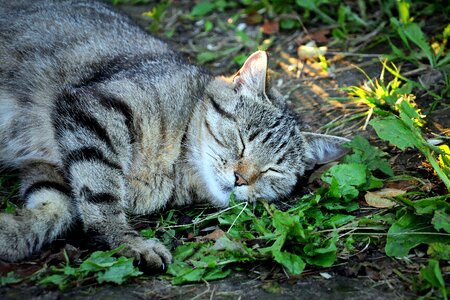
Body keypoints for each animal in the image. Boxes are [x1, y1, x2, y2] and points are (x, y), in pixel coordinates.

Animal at [0, 0, 348, 268]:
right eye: (242, 139)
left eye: (273, 170)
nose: (240, 179)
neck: (176, 167)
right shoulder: (95, 108)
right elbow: (100, 193)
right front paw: (127, 241)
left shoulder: (50, 166)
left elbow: (54, 209)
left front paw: (10, 234)